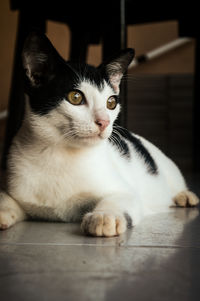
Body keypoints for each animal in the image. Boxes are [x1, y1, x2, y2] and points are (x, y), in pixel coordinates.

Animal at [0, 32, 198, 234]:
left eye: (111, 102)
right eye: (75, 97)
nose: (104, 122)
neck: (57, 152)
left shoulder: (127, 191)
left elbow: (120, 197)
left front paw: (104, 216)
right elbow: (6, 199)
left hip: (164, 166)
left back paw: (184, 196)